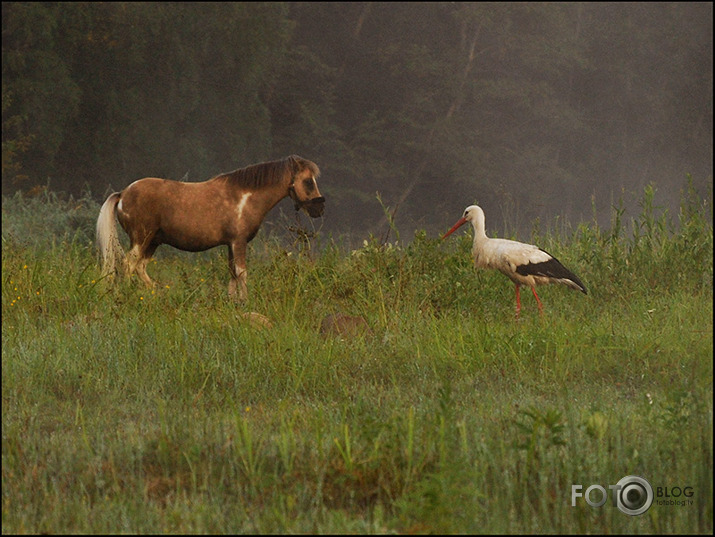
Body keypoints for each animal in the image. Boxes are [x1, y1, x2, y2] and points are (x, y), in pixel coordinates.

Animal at [96, 153, 326, 300]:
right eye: (308, 181)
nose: (319, 209)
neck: (245, 196)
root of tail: (123, 194)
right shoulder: (239, 242)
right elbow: (242, 273)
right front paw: (245, 302)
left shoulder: (231, 245)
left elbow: (233, 274)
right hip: (141, 239)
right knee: (127, 265)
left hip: (152, 242)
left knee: (139, 268)